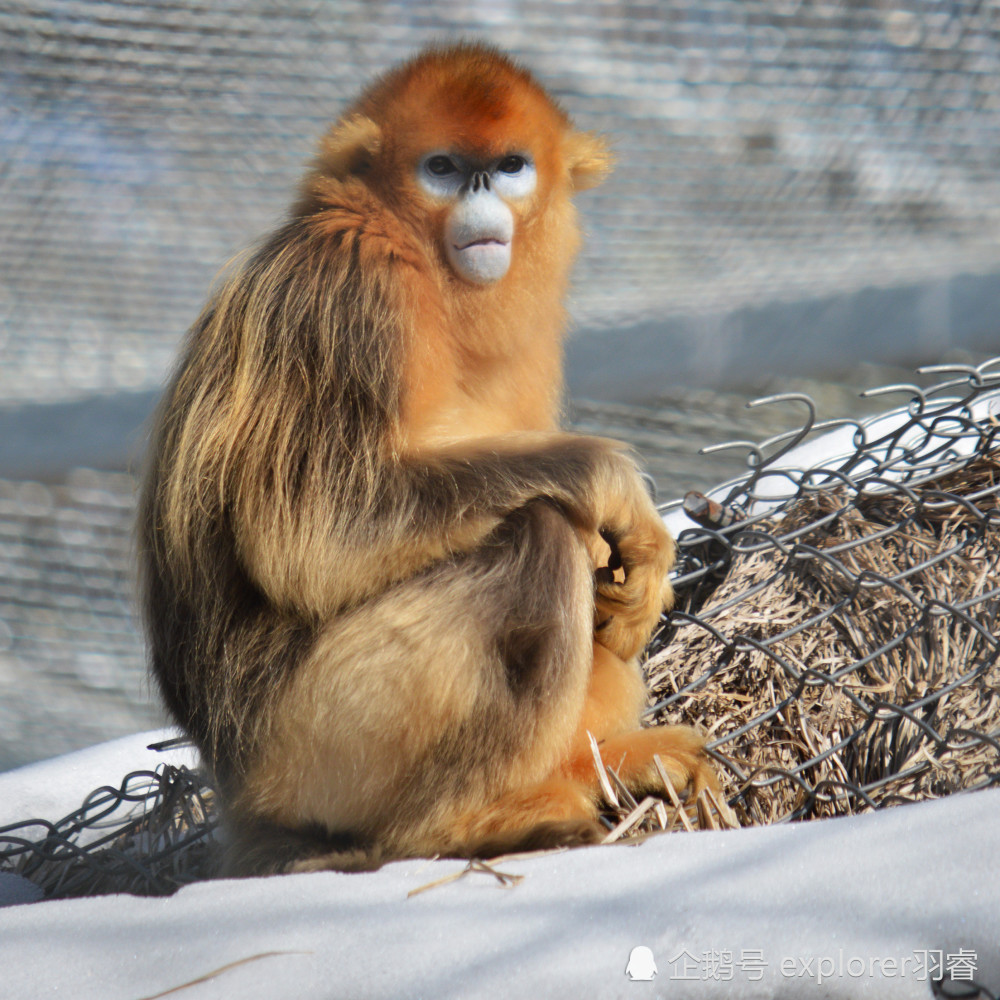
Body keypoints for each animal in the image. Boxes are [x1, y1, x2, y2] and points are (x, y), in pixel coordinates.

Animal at [141, 43, 720, 876]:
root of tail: (239, 802)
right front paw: (617, 488)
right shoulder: (351, 287)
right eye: (442, 168)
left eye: (509, 166)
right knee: (537, 541)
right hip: (310, 751)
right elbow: (316, 533)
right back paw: (462, 825)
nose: (481, 200)